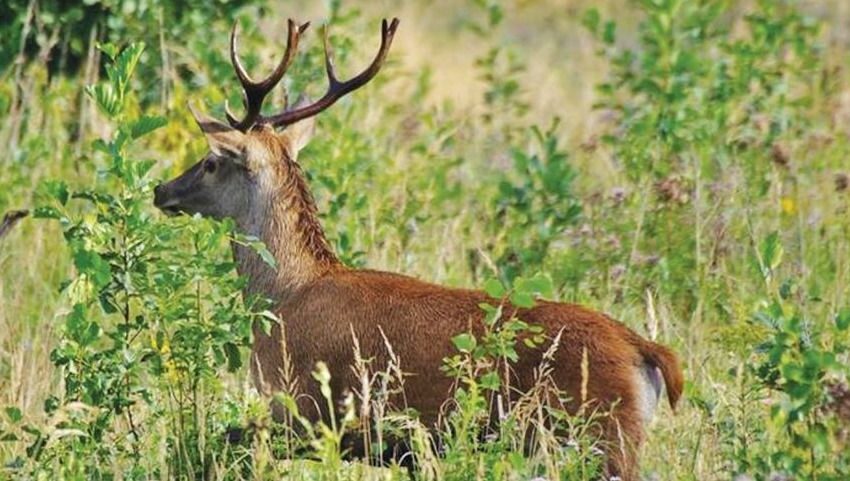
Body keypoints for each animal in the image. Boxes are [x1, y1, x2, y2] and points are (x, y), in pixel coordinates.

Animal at [152, 16, 684, 478]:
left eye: (211, 162)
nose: (161, 190)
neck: (282, 294)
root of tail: (646, 350)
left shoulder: (303, 409)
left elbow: (221, 444)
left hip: (595, 436)